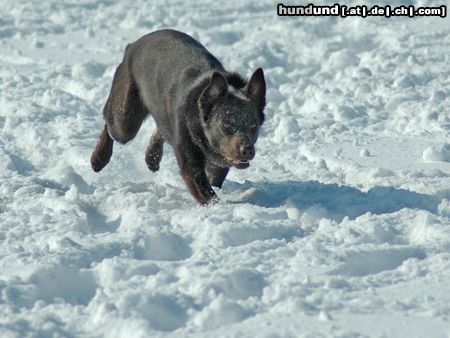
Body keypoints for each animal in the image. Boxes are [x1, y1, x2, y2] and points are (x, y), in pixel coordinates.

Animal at [92, 29, 268, 203]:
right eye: (226, 125)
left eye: (253, 126)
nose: (247, 150)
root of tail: (132, 45)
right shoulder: (190, 164)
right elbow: (207, 194)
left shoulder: (218, 165)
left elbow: (214, 181)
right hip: (125, 121)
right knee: (111, 125)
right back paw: (98, 159)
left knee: (160, 128)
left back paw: (152, 159)